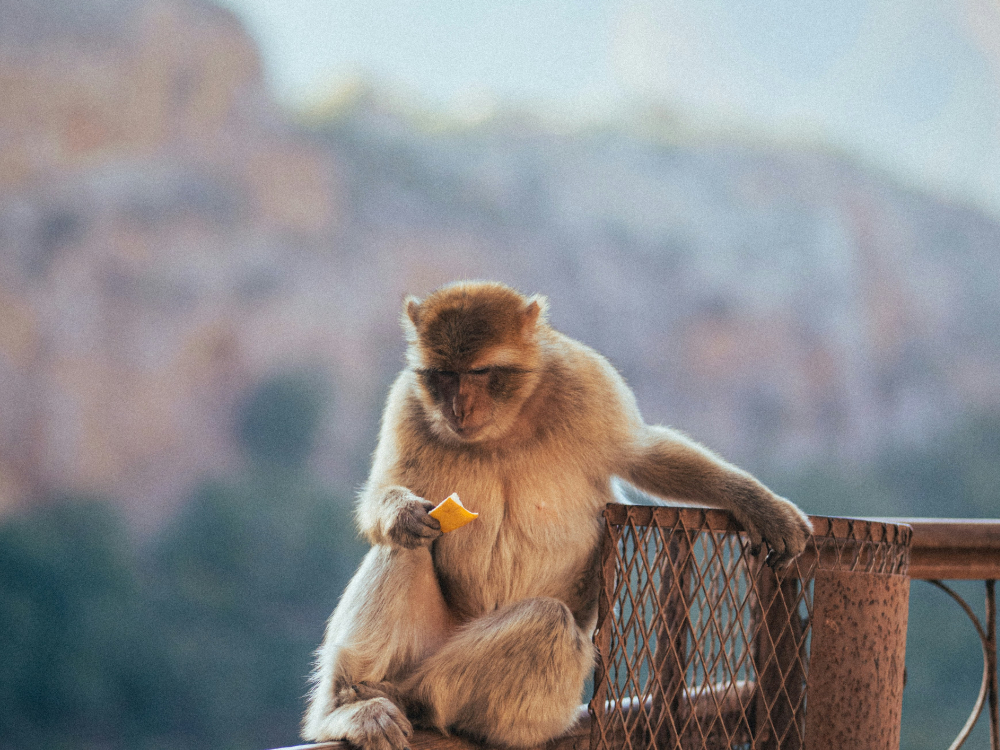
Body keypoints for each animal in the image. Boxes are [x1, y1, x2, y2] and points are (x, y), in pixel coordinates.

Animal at [302, 280, 812, 750]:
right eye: (444, 374)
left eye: (481, 371)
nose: (458, 407)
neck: (508, 420)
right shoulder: (408, 400)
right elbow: (386, 492)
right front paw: (403, 512)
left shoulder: (588, 381)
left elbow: (646, 454)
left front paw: (759, 504)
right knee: (406, 549)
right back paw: (351, 705)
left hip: (532, 711)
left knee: (548, 624)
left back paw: (414, 699)